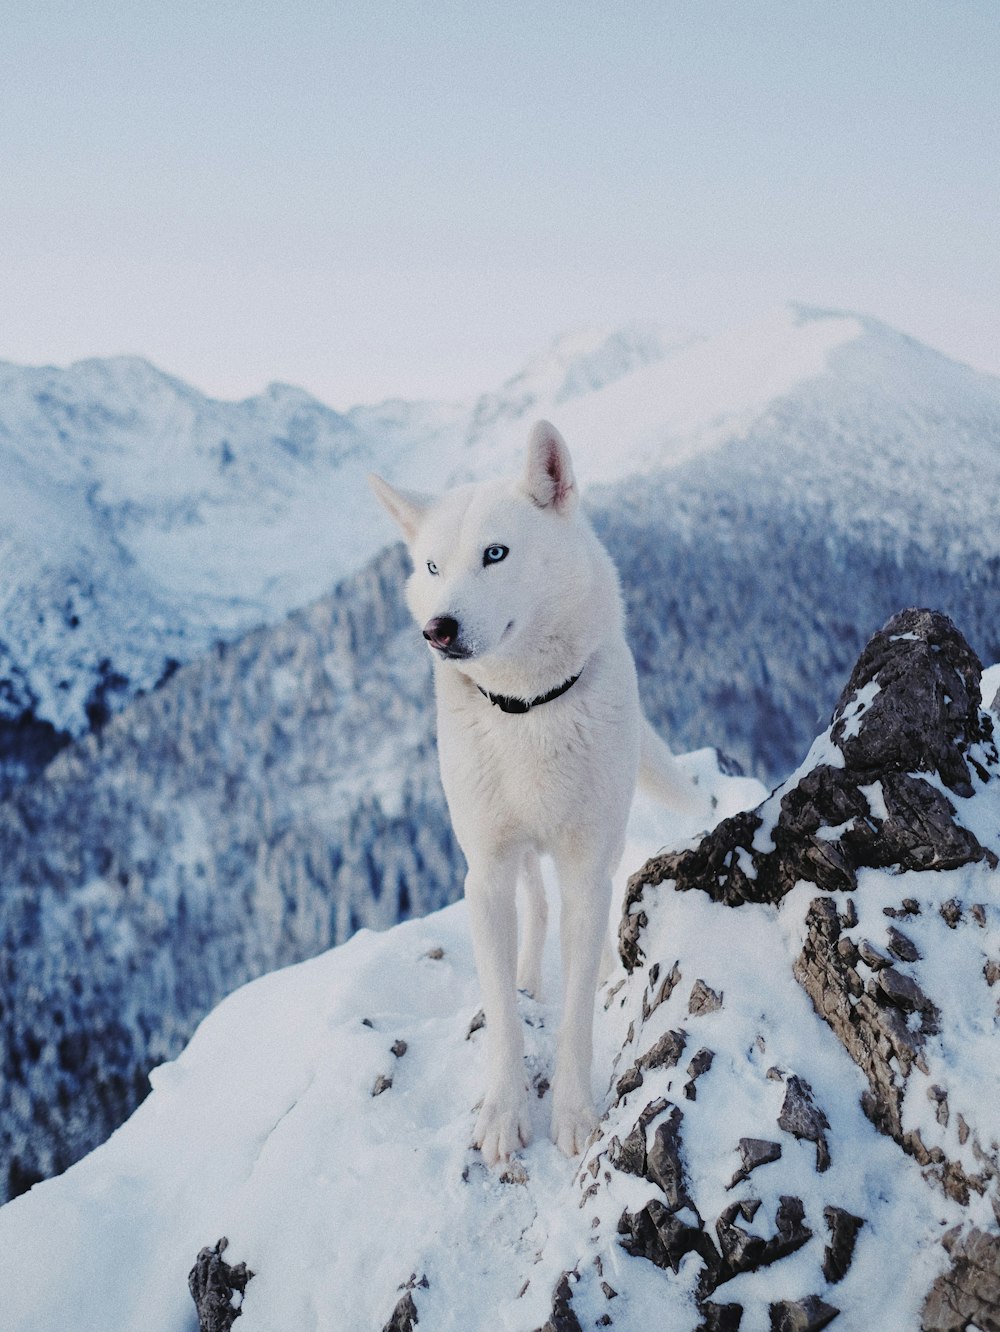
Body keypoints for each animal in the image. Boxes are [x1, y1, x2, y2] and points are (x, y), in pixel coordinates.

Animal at [367, 420, 703, 1161]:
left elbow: (576, 1012)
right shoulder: (486, 872)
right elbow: (501, 1014)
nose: (438, 630)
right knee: (536, 906)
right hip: (513, 855)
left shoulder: (586, 866)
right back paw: (527, 976)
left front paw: (573, 1114)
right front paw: (502, 1114)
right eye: (432, 568)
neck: (527, 710)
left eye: (495, 554)